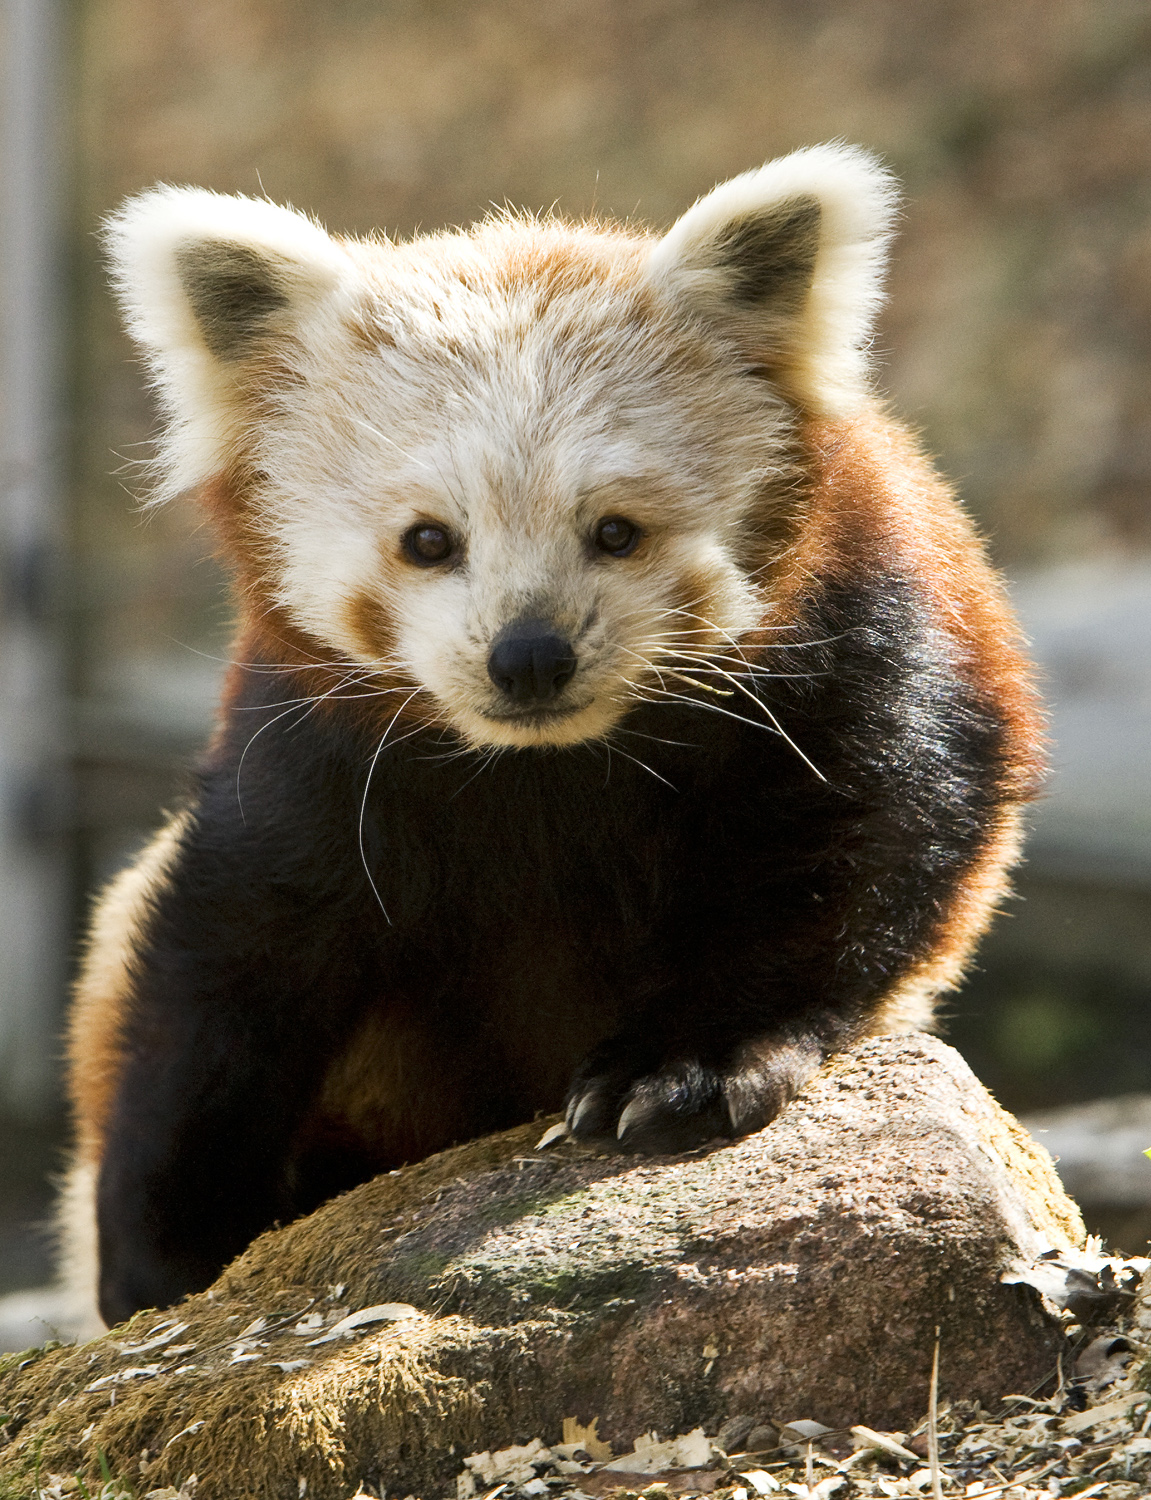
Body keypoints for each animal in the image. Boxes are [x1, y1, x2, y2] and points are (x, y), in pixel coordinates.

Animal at [61, 144, 1044, 1331]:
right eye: (427, 541)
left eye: (615, 531)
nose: (527, 657)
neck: (553, 764)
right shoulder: (309, 743)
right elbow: (228, 954)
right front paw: (164, 1243)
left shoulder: (864, 639)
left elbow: (859, 843)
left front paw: (682, 1067)